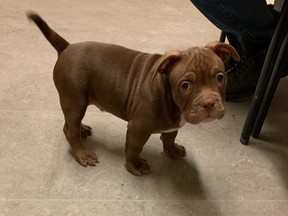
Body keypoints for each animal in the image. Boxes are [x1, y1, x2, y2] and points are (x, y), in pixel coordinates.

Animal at [27, 11, 240, 176]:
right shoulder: (138, 128)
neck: (167, 92)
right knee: (69, 129)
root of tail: (67, 47)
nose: (209, 103)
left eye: (220, 77)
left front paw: (172, 150)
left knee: (70, 124)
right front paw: (134, 166)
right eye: (185, 85)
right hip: (74, 100)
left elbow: (170, 137)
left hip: (75, 102)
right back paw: (82, 154)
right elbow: (134, 148)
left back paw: (82, 130)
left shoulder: (172, 125)